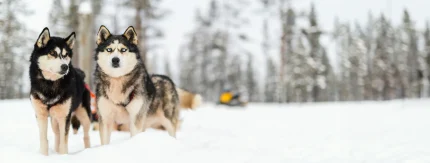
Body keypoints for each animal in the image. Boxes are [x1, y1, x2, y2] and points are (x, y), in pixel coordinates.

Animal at [29, 27, 92, 155]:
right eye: (52, 53)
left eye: (65, 55)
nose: (65, 67)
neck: (50, 84)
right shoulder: (41, 115)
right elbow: (44, 140)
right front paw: (44, 155)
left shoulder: (64, 117)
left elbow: (64, 142)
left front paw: (63, 156)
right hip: (54, 119)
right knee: (57, 135)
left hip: (84, 115)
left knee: (86, 135)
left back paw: (88, 149)